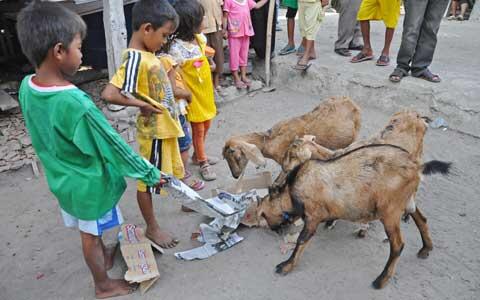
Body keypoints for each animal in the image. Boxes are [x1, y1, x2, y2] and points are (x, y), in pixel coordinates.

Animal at [256, 110, 452, 288]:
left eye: (263, 214)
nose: (274, 230)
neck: (293, 190)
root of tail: (416, 167)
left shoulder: (313, 215)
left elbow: (301, 240)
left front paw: (285, 266)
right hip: (406, 201)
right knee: (421, 219)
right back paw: (426, 248)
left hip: (390, 211)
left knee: (398, 245)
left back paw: (381, 280)